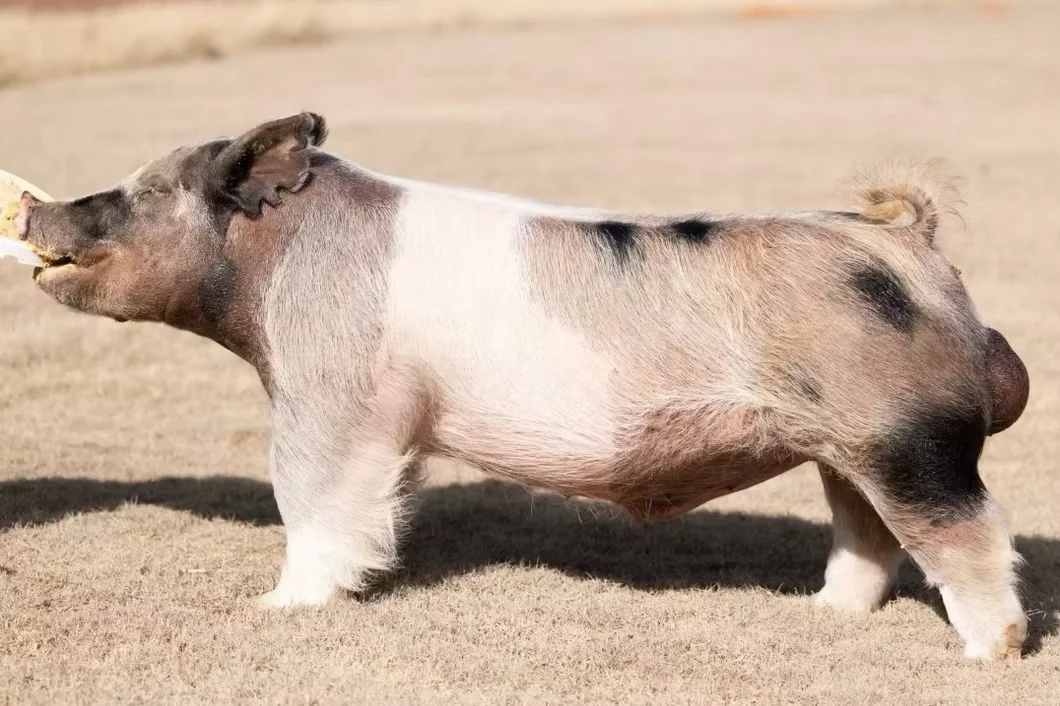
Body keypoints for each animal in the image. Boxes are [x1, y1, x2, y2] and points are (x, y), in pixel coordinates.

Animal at [17, 113, 1031, 661]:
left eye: (144, 193)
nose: (33, 210)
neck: (271, 272)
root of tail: (905, 241)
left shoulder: (327, 392)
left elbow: (310, 498)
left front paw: (276, 608)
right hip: (845, 446)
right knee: (868, 536)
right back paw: (823, 614)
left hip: (908, 439)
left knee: (971, 532)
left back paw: (990, 654)